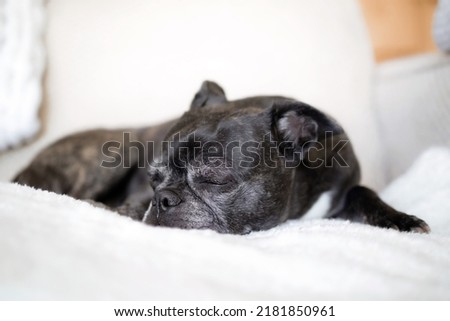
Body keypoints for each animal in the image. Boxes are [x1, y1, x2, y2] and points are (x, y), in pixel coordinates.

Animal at [13, 81, 428, 234]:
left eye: (214, 179)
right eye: (153, 178)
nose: (161, 201)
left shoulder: (346, 185)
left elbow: (364, 193)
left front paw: (400, 219)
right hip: (110, 155)